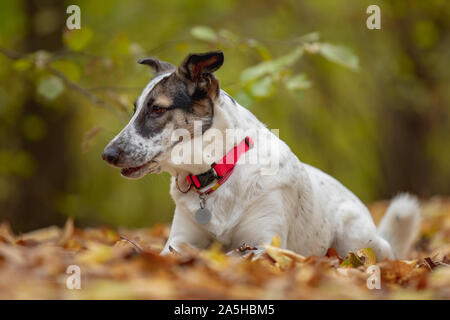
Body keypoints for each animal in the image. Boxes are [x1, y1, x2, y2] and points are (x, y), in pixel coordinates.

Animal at [103, 50, 422, 260]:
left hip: (356, 238)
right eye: (135, 110)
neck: (218, 171)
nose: (107, 154)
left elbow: (235, 255)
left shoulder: (264, 243)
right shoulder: (178, 241)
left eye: (157, 109)